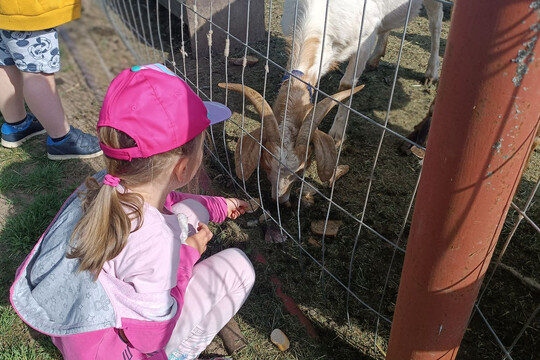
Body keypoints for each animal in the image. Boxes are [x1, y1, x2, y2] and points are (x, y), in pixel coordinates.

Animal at [219, 0, 442, 204]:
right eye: (265, 162)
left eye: (302, 169)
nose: (279, 200)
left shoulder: (363, 40)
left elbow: (346, 85)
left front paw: (337, 134)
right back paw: (376, 59)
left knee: (435, 21)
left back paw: (431, 74)